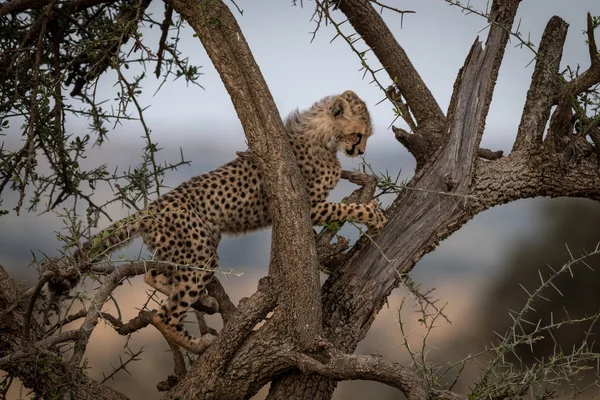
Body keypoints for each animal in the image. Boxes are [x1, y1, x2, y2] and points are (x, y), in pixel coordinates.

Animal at [45, 90, 384, 354]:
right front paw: (375, 216)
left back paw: (205, 301)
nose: (360, 151)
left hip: (190, 244)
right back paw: (198, 342)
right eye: (359, 134)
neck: (323, 134)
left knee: (152, 275)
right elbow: (346, 209)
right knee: (163, 315)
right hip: (199, 251)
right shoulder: (307, 204)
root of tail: (152, 207)